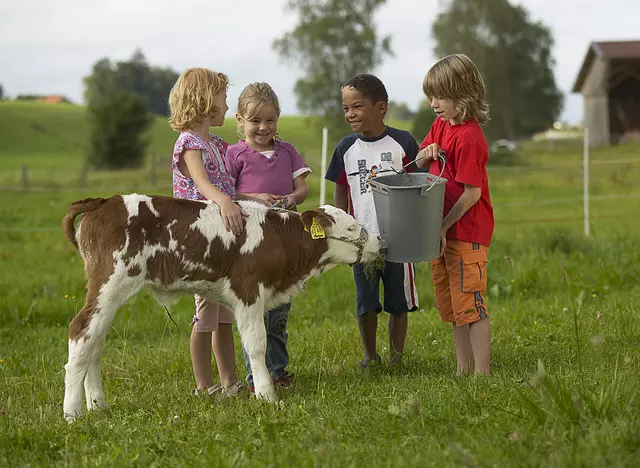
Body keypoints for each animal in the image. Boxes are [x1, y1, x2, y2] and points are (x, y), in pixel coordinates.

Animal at [61, 194, 380, 420]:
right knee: (80, 330)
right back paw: (72, 413)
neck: (278, 238)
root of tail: (104, 201)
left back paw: (97, 404)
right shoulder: (248, 291)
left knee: (94, 340)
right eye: (351, 226)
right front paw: (266, 395)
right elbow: (256, 344)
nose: (378, 240)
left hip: (109, 294)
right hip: (110, 283)